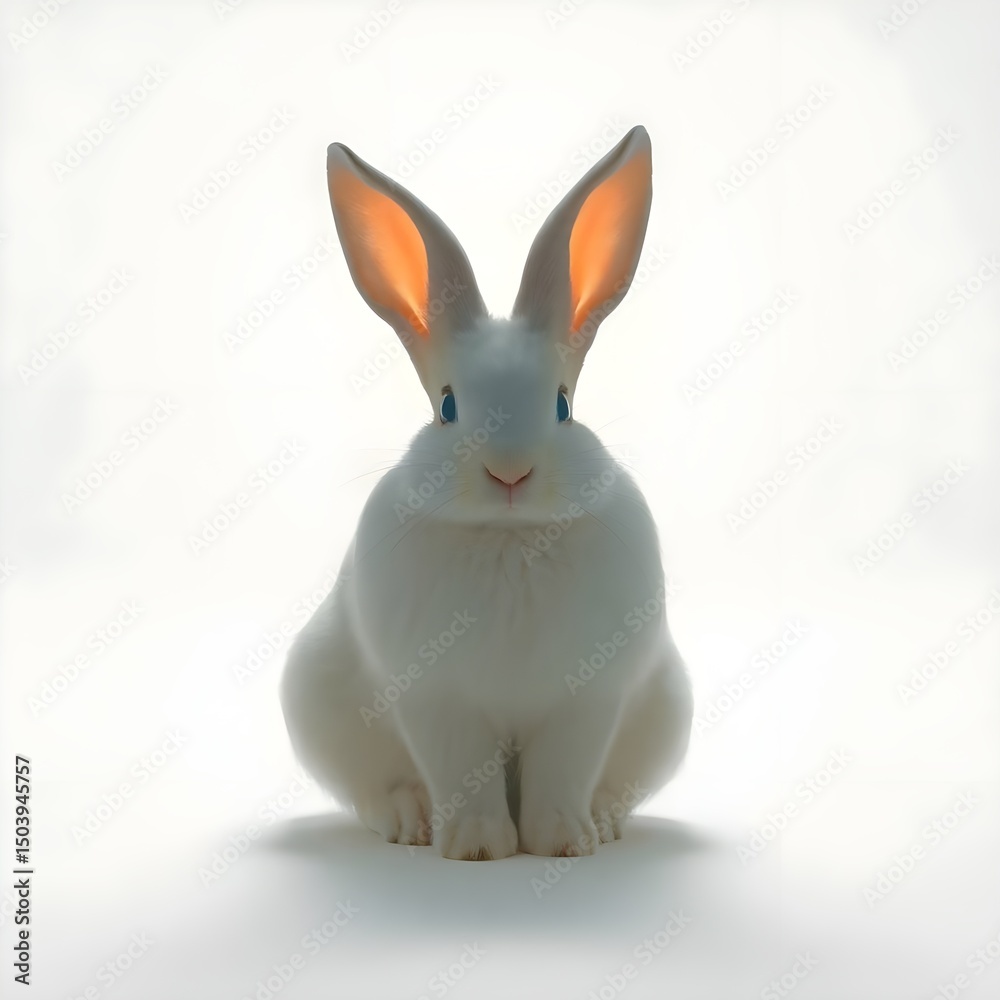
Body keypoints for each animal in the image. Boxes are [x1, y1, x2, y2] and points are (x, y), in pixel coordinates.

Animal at [280, 125, 693, 860]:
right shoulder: (439, 702)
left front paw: (563, 844)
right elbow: (462, 775)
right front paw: (476, 848)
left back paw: (606, 822)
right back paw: (409, 823)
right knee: (375, 790)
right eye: (448, 406)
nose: (509, 474)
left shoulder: (585, 701)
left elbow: (563, 776)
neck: (509, 538)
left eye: (562, 404)